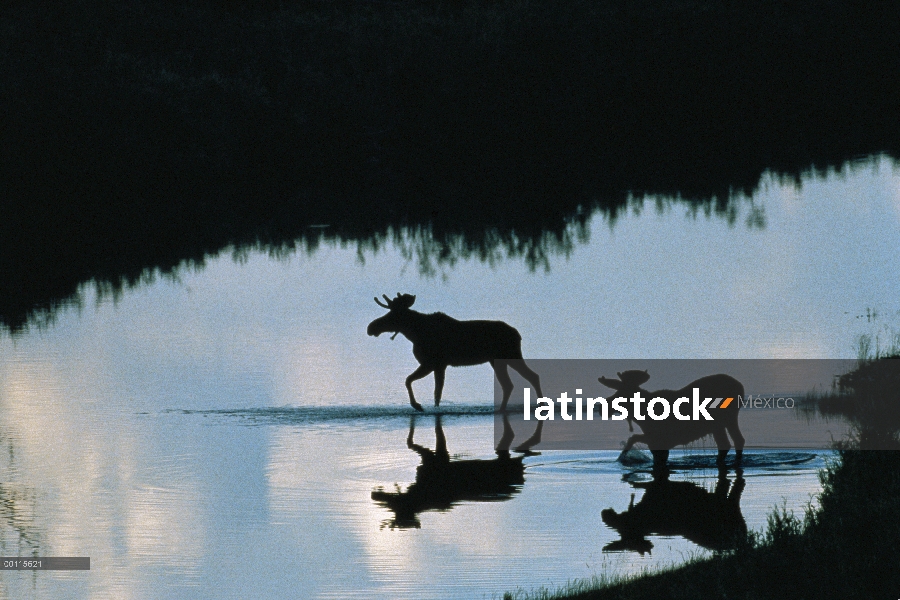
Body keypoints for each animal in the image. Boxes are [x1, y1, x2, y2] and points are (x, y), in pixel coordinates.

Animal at [366, 294, 540, 412]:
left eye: (393, 314)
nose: (371, 327)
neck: (414, 333)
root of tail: (518, 334)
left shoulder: (432, 363)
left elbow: (415, 383)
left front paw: (417, 405)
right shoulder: (439, 365)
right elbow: (435, 392)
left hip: (510, 356)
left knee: (531, 376)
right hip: (497, 361)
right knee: (509, 384)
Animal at [600, 370, 740, 468]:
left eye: (620, 394)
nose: (601, 406)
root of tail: (740, 387)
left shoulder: (658, 441)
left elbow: (633, 438)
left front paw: (623, 458)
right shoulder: (655, 441)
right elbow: (633, 438)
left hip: (720, 422)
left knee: (727, 444)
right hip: (726, 422)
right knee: (736, 441)